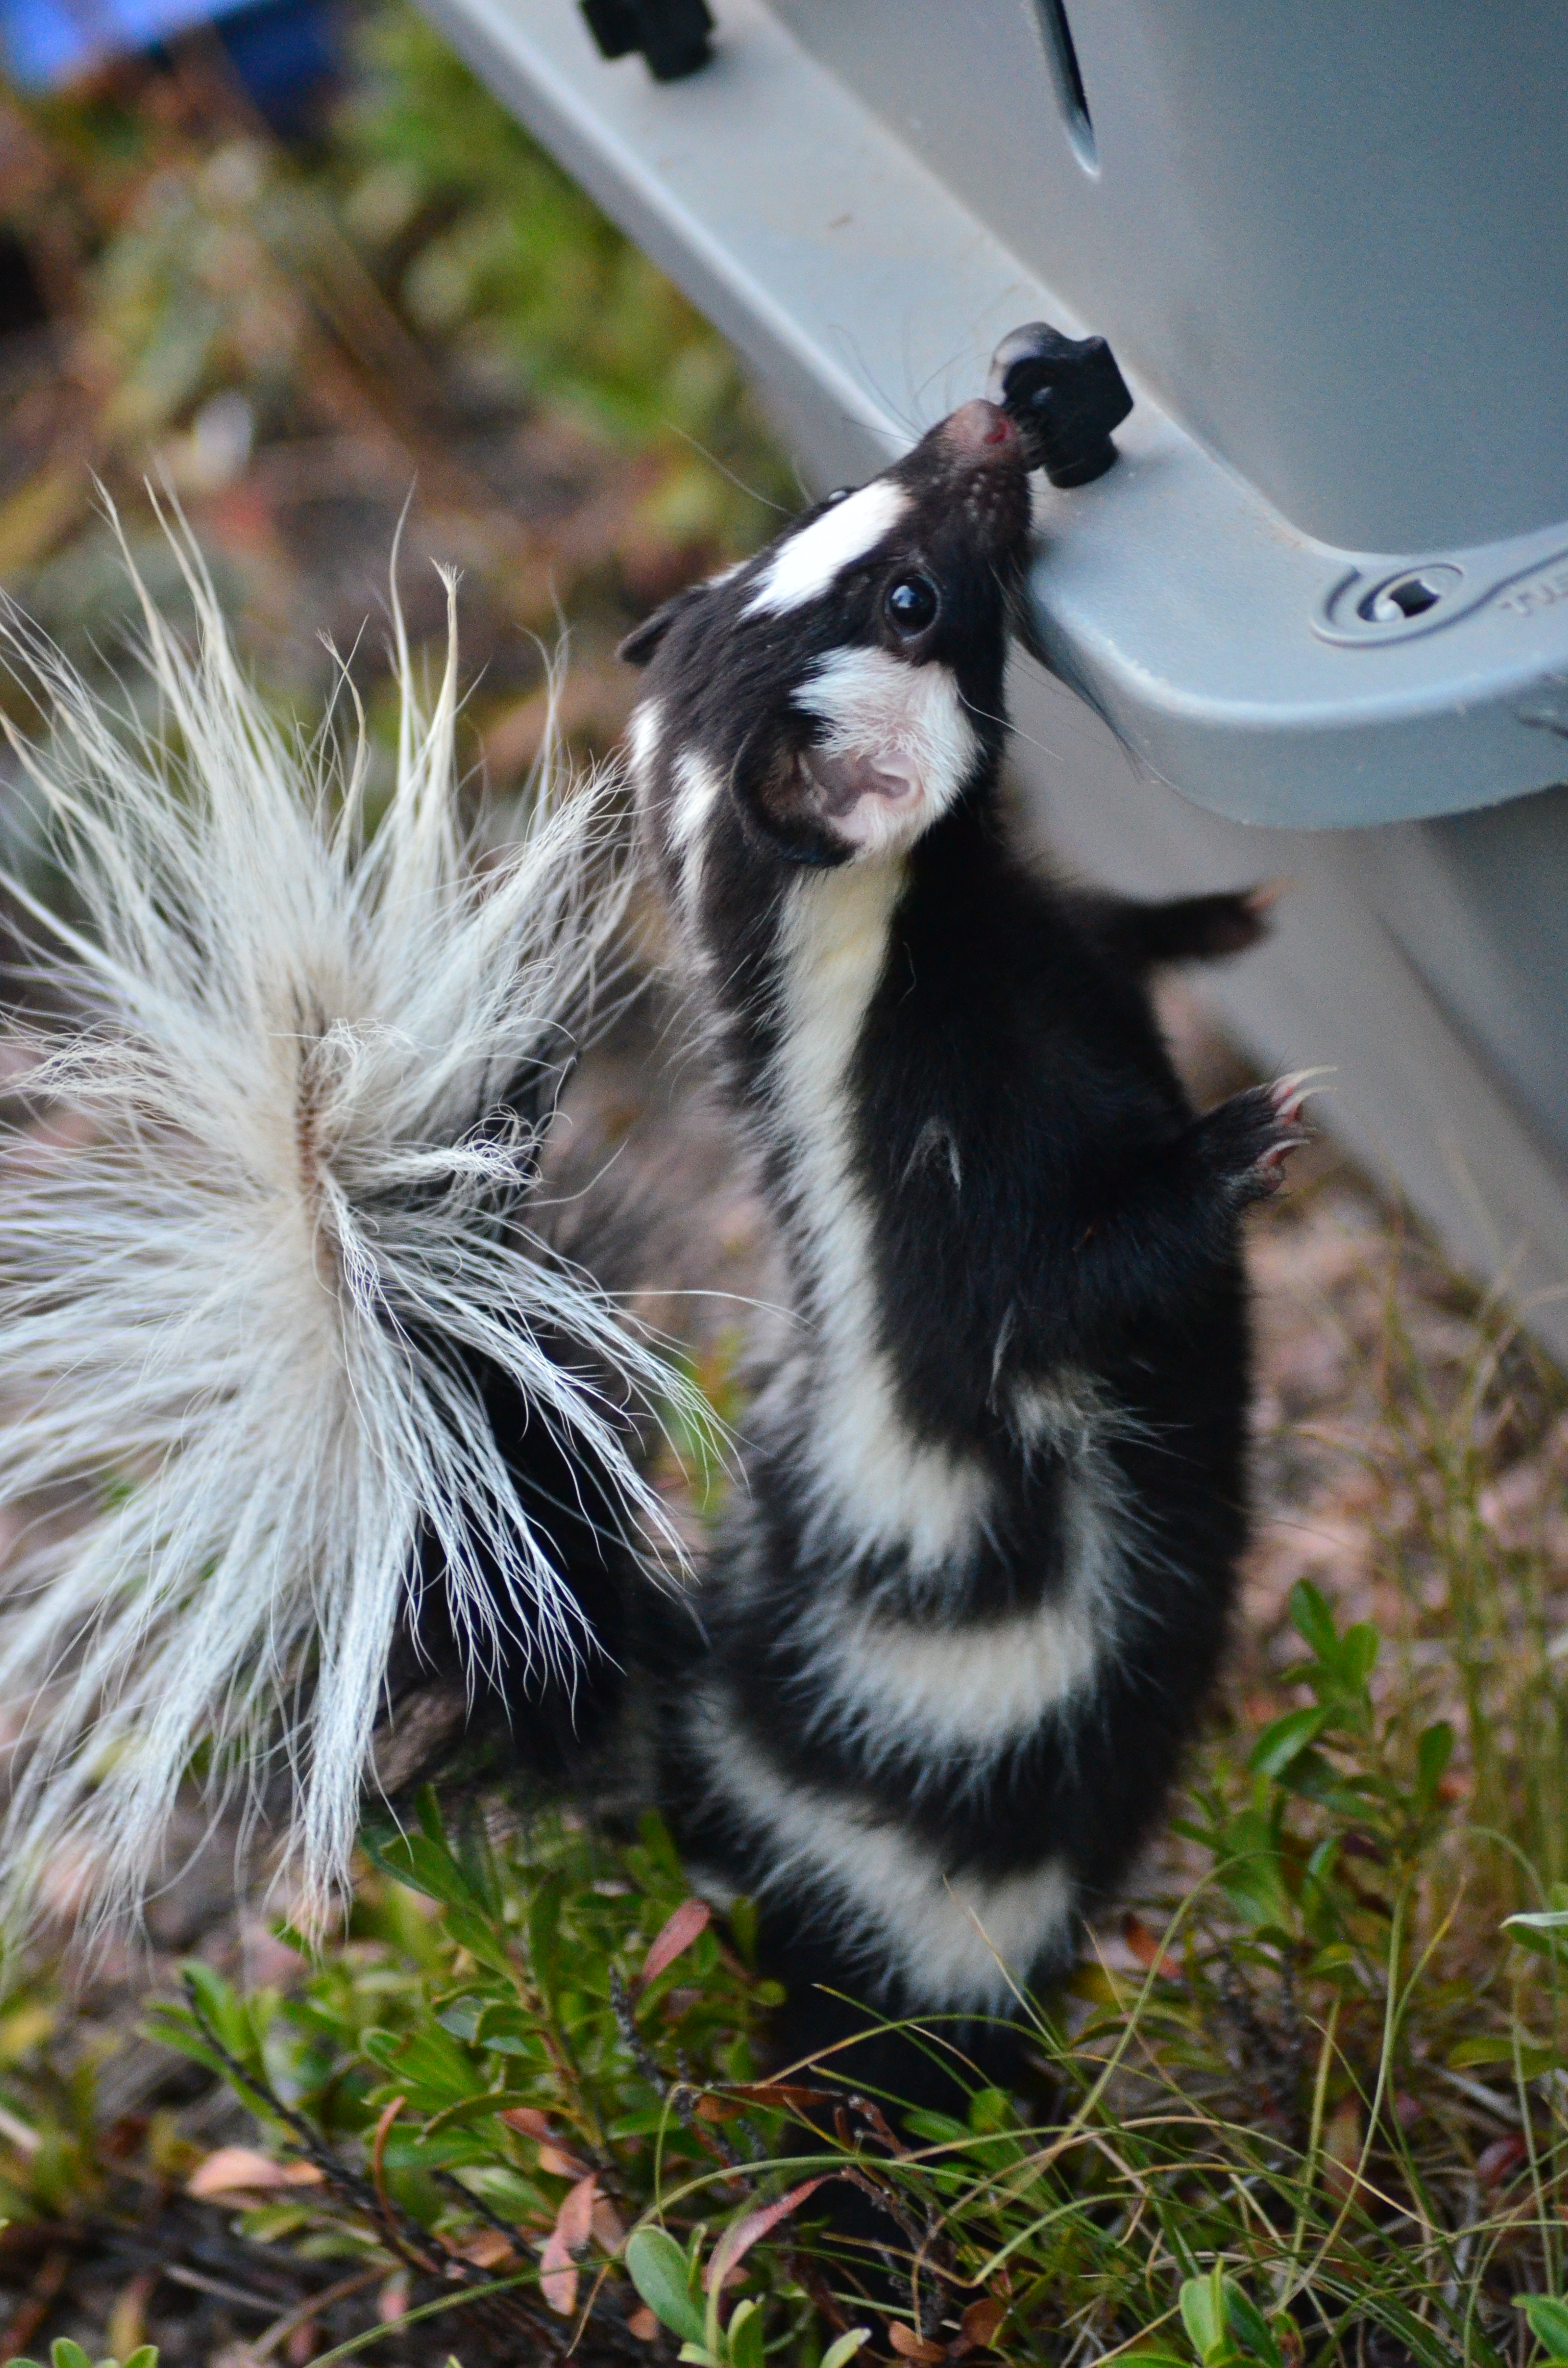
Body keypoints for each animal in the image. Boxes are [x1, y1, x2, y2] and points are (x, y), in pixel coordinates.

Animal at [0, 397, 1307, 2103]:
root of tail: (684, 1747)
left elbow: (1125, 937)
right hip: (914, 1870)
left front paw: (1224, 912)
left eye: (844, 510)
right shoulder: (943, 1187)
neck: (896, 966)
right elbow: (1076, 1279)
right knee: (907, 2024)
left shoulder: (1047, 965)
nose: (985, 424)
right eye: (908, 598)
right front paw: (1246, 1132)